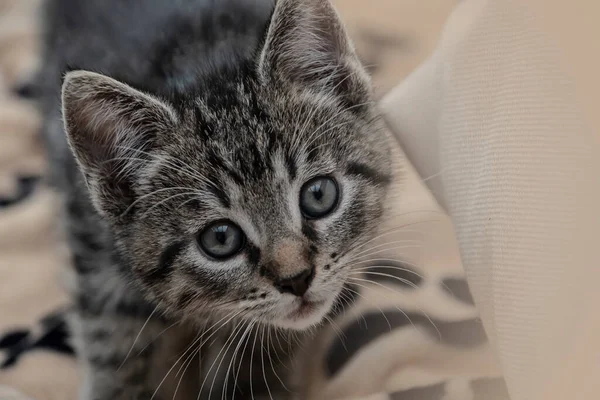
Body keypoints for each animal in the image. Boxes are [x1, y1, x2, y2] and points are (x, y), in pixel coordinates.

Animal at [38, 0, 394, 398]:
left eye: (319, 195)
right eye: (220, 238)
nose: (297, 279)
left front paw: (258, 382)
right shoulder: (92, 248)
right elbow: (114, 338)